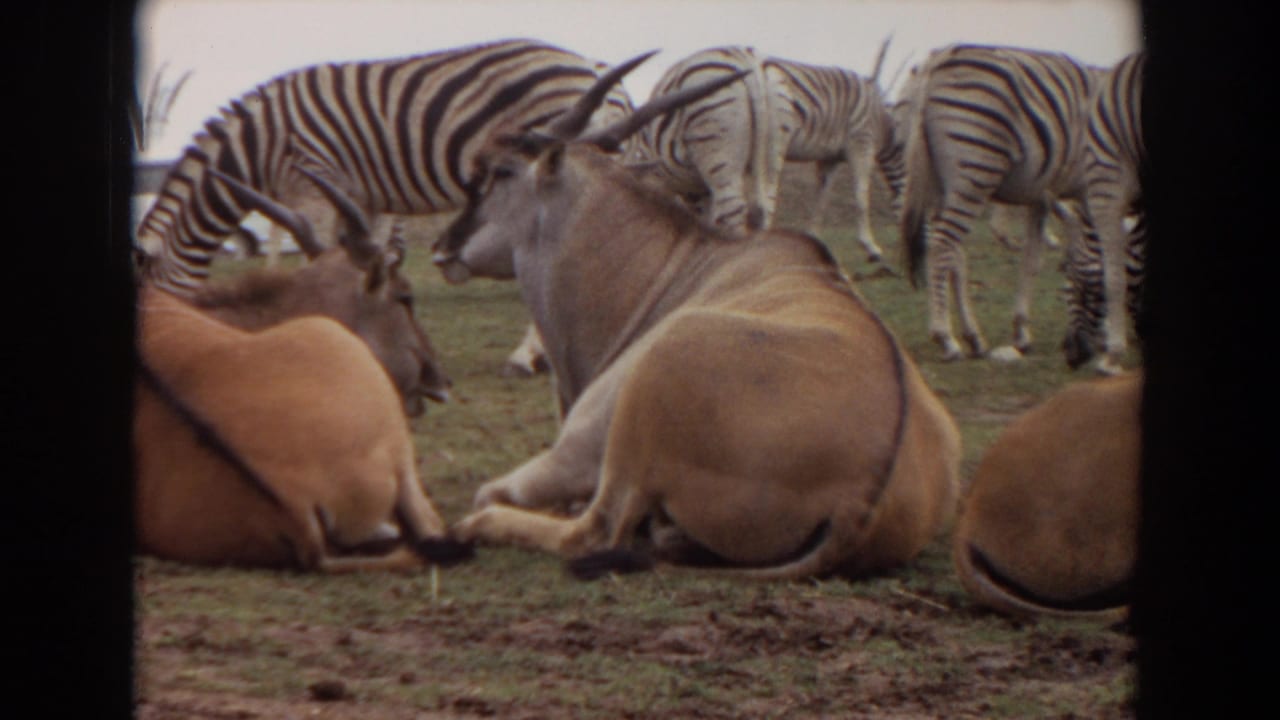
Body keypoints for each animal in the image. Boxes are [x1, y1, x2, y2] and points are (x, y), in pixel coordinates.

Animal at [631, 42, 902, 270]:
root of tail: (748, 62)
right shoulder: (847, 148)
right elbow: (833, 196)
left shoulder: (855, 143)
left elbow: (851, 196)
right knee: (761, 209)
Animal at [897, 43, 1103, 362]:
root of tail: (937, 61)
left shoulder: (1041, 195)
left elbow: (1033, 260)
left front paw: (1021, 331)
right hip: (975, 167)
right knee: (942, 245)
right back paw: (946, 338)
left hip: (934, 181)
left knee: (953, 252)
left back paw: (974, 337)